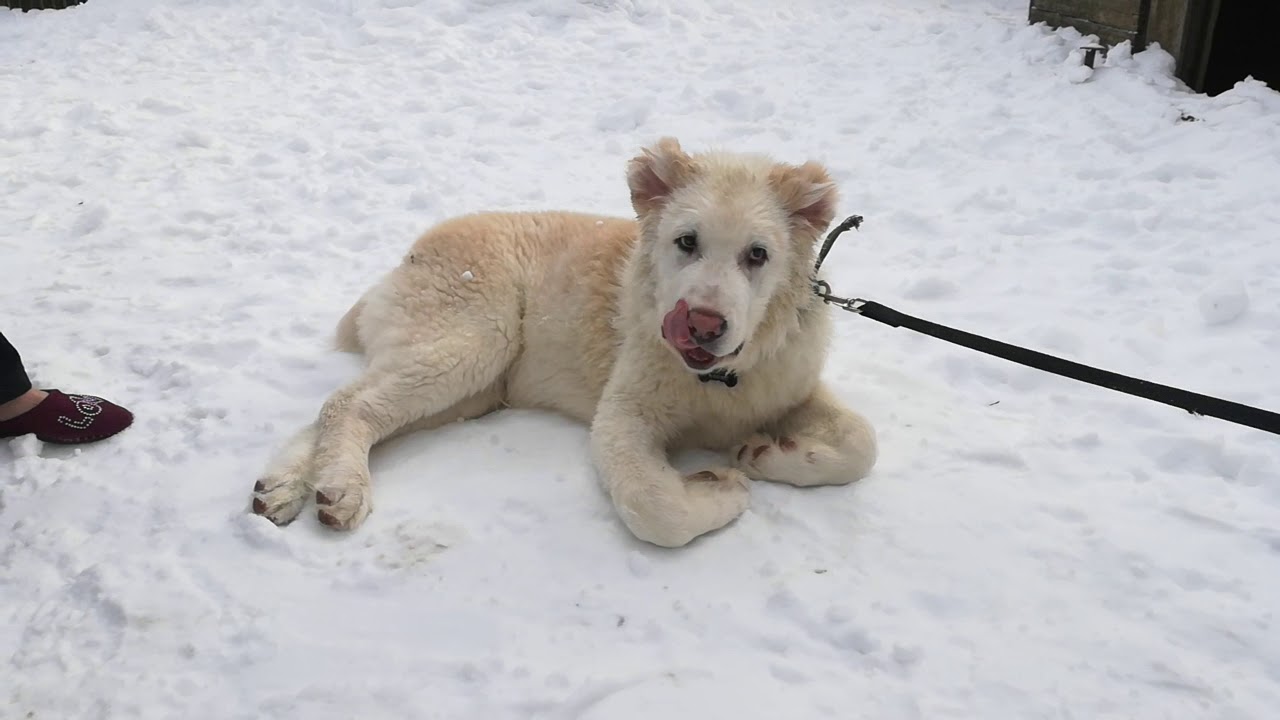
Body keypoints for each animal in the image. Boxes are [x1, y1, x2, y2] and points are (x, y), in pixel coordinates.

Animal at [254, 137, 885, 545]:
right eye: (686, 241)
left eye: (758, 255)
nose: (702, 323)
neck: (718, 381)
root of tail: (407, 258)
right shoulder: (623, 414)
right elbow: (655, 509)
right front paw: (721, 485)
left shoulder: (788, 383)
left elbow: (863, 443)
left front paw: (769, 453)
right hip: (470, 342)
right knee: (348, 403)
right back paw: (341, 490)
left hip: (471, 388)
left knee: (347, 409)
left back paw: (286, 488)